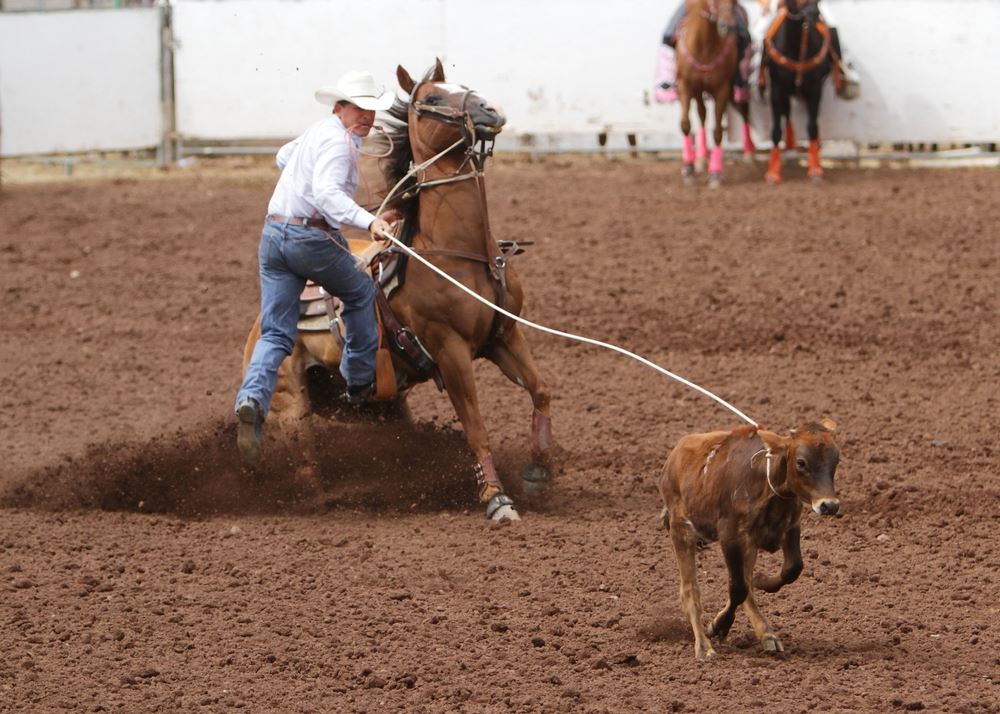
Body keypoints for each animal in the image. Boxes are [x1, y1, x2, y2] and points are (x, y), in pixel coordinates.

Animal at [241, 60, 554, 522]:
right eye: (434, 97)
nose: (491, 110)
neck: (460, 253)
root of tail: (259, 327)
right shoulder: (450, 349)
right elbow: (476, 427)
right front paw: (497, 499)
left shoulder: (504, 335)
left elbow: (540, 390)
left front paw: (539, 470)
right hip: (289, 403)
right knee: (304, 461)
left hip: (385, 402)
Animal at [657, 419, 840, 660]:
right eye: (801, 462)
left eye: (836, 459)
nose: (830, 505)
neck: (765, 481)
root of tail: (674, 458)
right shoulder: (730, 537)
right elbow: (738, 588)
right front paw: (719, 626)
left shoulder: (790, 527)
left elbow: (791, 569)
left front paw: (761, 580)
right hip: (681, 530)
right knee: (690, 590)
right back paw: (704, 647)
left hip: (748, 545)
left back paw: (767, 634)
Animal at [675, 0, 755, 187]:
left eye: (734, 2)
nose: (728, 26)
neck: (704, 46)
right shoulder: (685, 86)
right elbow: (685, 124)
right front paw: (688, 169)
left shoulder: (722, 89)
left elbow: (718, 131)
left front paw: (716, 173)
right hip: (698, 91)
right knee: (702, 115)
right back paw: (701, 158)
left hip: (736, 87)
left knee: (744, 110)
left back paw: (749, 152)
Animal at [761, 0, 838, 183]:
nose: (813, 13)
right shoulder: (777, 89)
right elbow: (776, 130)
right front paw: (772, 172)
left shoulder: (815, 89)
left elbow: (812, 126)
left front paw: (815, 169)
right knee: (787, 114)